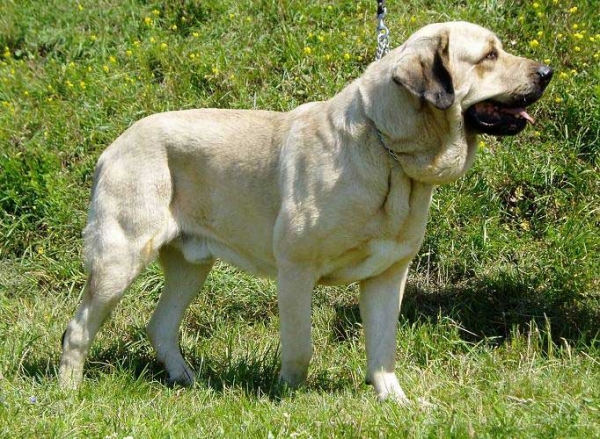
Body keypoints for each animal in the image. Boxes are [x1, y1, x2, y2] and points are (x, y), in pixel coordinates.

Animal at [61, 22, 552, 404]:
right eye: (489, 55)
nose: (547, 72)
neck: (389, 153)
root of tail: (114, 146)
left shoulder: (388, 276)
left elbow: (383, 348)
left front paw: (395, 400)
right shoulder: (296, 270)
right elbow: (300, 348)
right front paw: (290, 399)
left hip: (190, 266)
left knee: (160, 326)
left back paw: (188, 381)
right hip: (119, 259)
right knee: (78, 327)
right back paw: (70, 392)